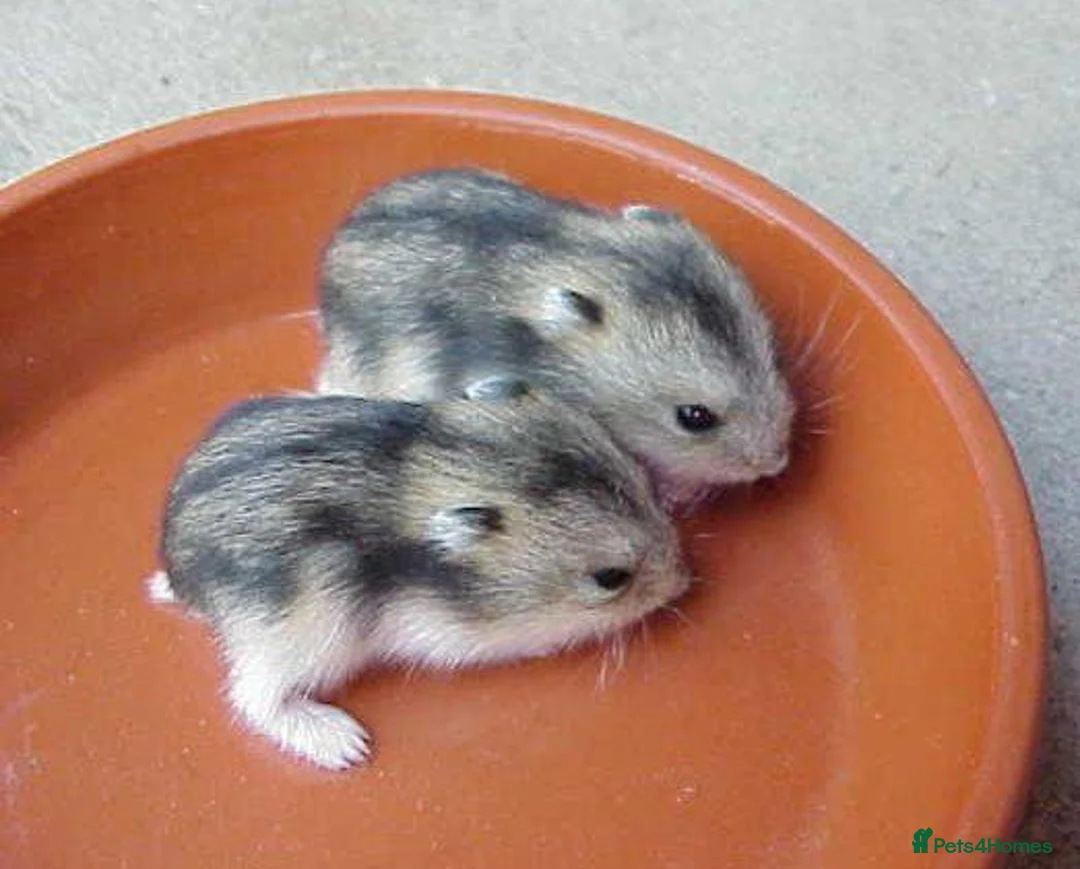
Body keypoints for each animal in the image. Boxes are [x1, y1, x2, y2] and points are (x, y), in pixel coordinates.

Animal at [150, 392, 690, 769]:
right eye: (611, 578)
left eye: (647, 487)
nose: (687, 579)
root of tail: (179, 573)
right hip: (304, 633)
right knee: (253, 698)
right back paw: (346, 744)